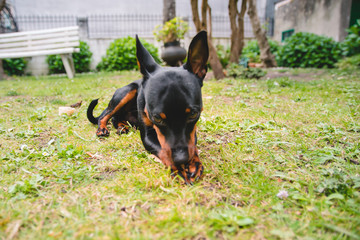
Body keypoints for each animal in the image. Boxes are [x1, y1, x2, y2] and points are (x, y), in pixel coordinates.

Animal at [87, 31, 210, 184]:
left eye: (193, 114)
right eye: (157, 118)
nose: (181, 159)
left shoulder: (192, 129)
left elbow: (192, 142)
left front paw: (195, 162)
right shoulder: (147, 136)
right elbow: (163, 150)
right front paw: (178, 168)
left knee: (115, 117)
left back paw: (122, 126)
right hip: (127, 91)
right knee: (105, 115)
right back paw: (103, 128)